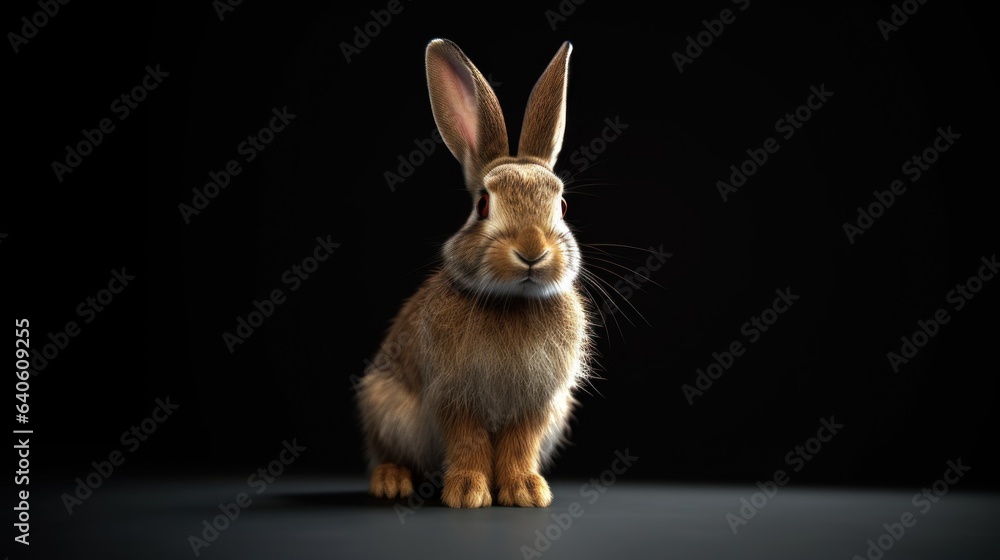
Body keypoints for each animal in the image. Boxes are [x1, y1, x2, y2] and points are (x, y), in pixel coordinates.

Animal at [356, 38, 591, 508]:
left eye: (562, 206)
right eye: (483, 204)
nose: (532, 251)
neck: (513, 301)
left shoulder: (537, 404)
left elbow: (520, 443)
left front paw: (525, 490)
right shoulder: (453, 397)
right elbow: (468, 442)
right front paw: (467, 491)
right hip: (383, 406)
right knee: (387, 452)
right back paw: (390, 481)